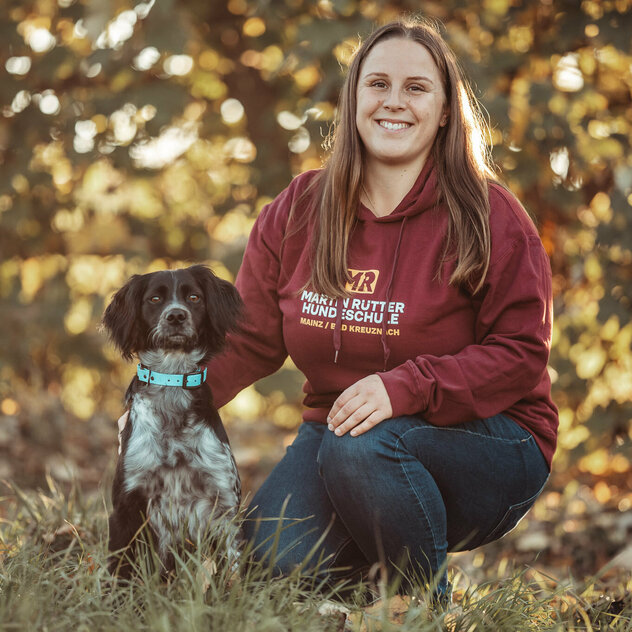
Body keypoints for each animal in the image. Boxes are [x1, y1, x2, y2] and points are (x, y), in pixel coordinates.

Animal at [102, 264, 243, 580]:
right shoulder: (126, 505)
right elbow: (120, 570)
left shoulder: (224, 505)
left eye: (194, 297)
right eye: (155, 299)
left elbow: (232, 573)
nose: (176, 316)